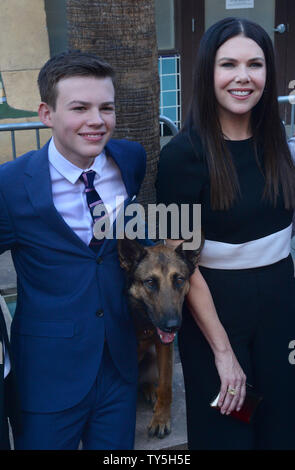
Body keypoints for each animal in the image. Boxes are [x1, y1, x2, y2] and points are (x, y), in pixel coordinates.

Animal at [118, 241, 204, 438]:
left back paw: (150, 389)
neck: (143, 319)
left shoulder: (164, 346)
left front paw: (161, 419)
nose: (172, 326)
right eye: (150, 282)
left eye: (179, 279)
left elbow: (165, 385)